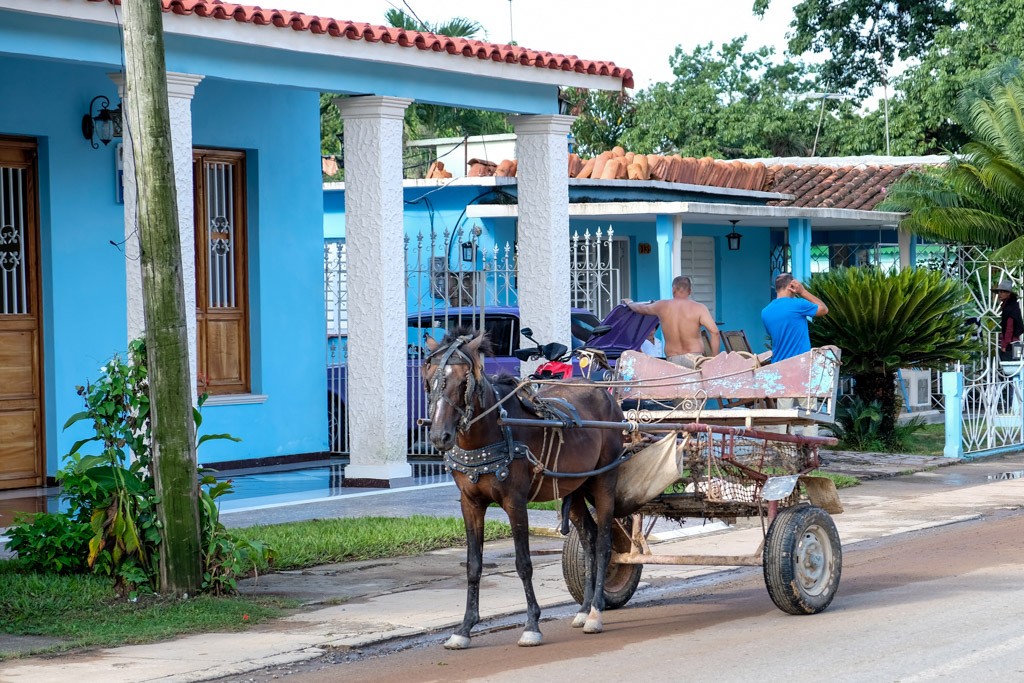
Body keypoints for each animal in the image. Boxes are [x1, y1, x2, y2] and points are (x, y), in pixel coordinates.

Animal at [421, 331, 622, 651]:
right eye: (429, 379)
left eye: (464, 381)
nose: (441, 436)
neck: (493, 430)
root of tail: (606, 394)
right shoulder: (470, 503)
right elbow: (473, 565)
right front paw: (464, 628)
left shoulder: (515, 502)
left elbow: (524, 563)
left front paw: (531, 625)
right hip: (575, 484)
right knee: (588, 538)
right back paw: (583, 608)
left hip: (604, 478)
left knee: (603, 541)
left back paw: (595, 612)